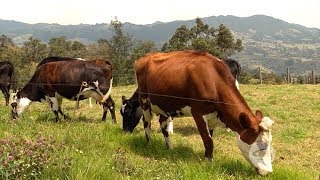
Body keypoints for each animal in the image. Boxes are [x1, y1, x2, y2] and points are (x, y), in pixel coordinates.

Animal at [121, 51, 274, 176]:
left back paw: (170, 148)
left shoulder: (212, 117)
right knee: (147, 123)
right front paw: (209, 164)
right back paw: (149, 144)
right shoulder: (198, 113)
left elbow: (210, 139)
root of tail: (144, 57)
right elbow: (208, 141)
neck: (213, 80)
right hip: (145, 101)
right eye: (260, 146)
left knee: (163, 126)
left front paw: (207, 158)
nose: (267, 172)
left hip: (165, 103)